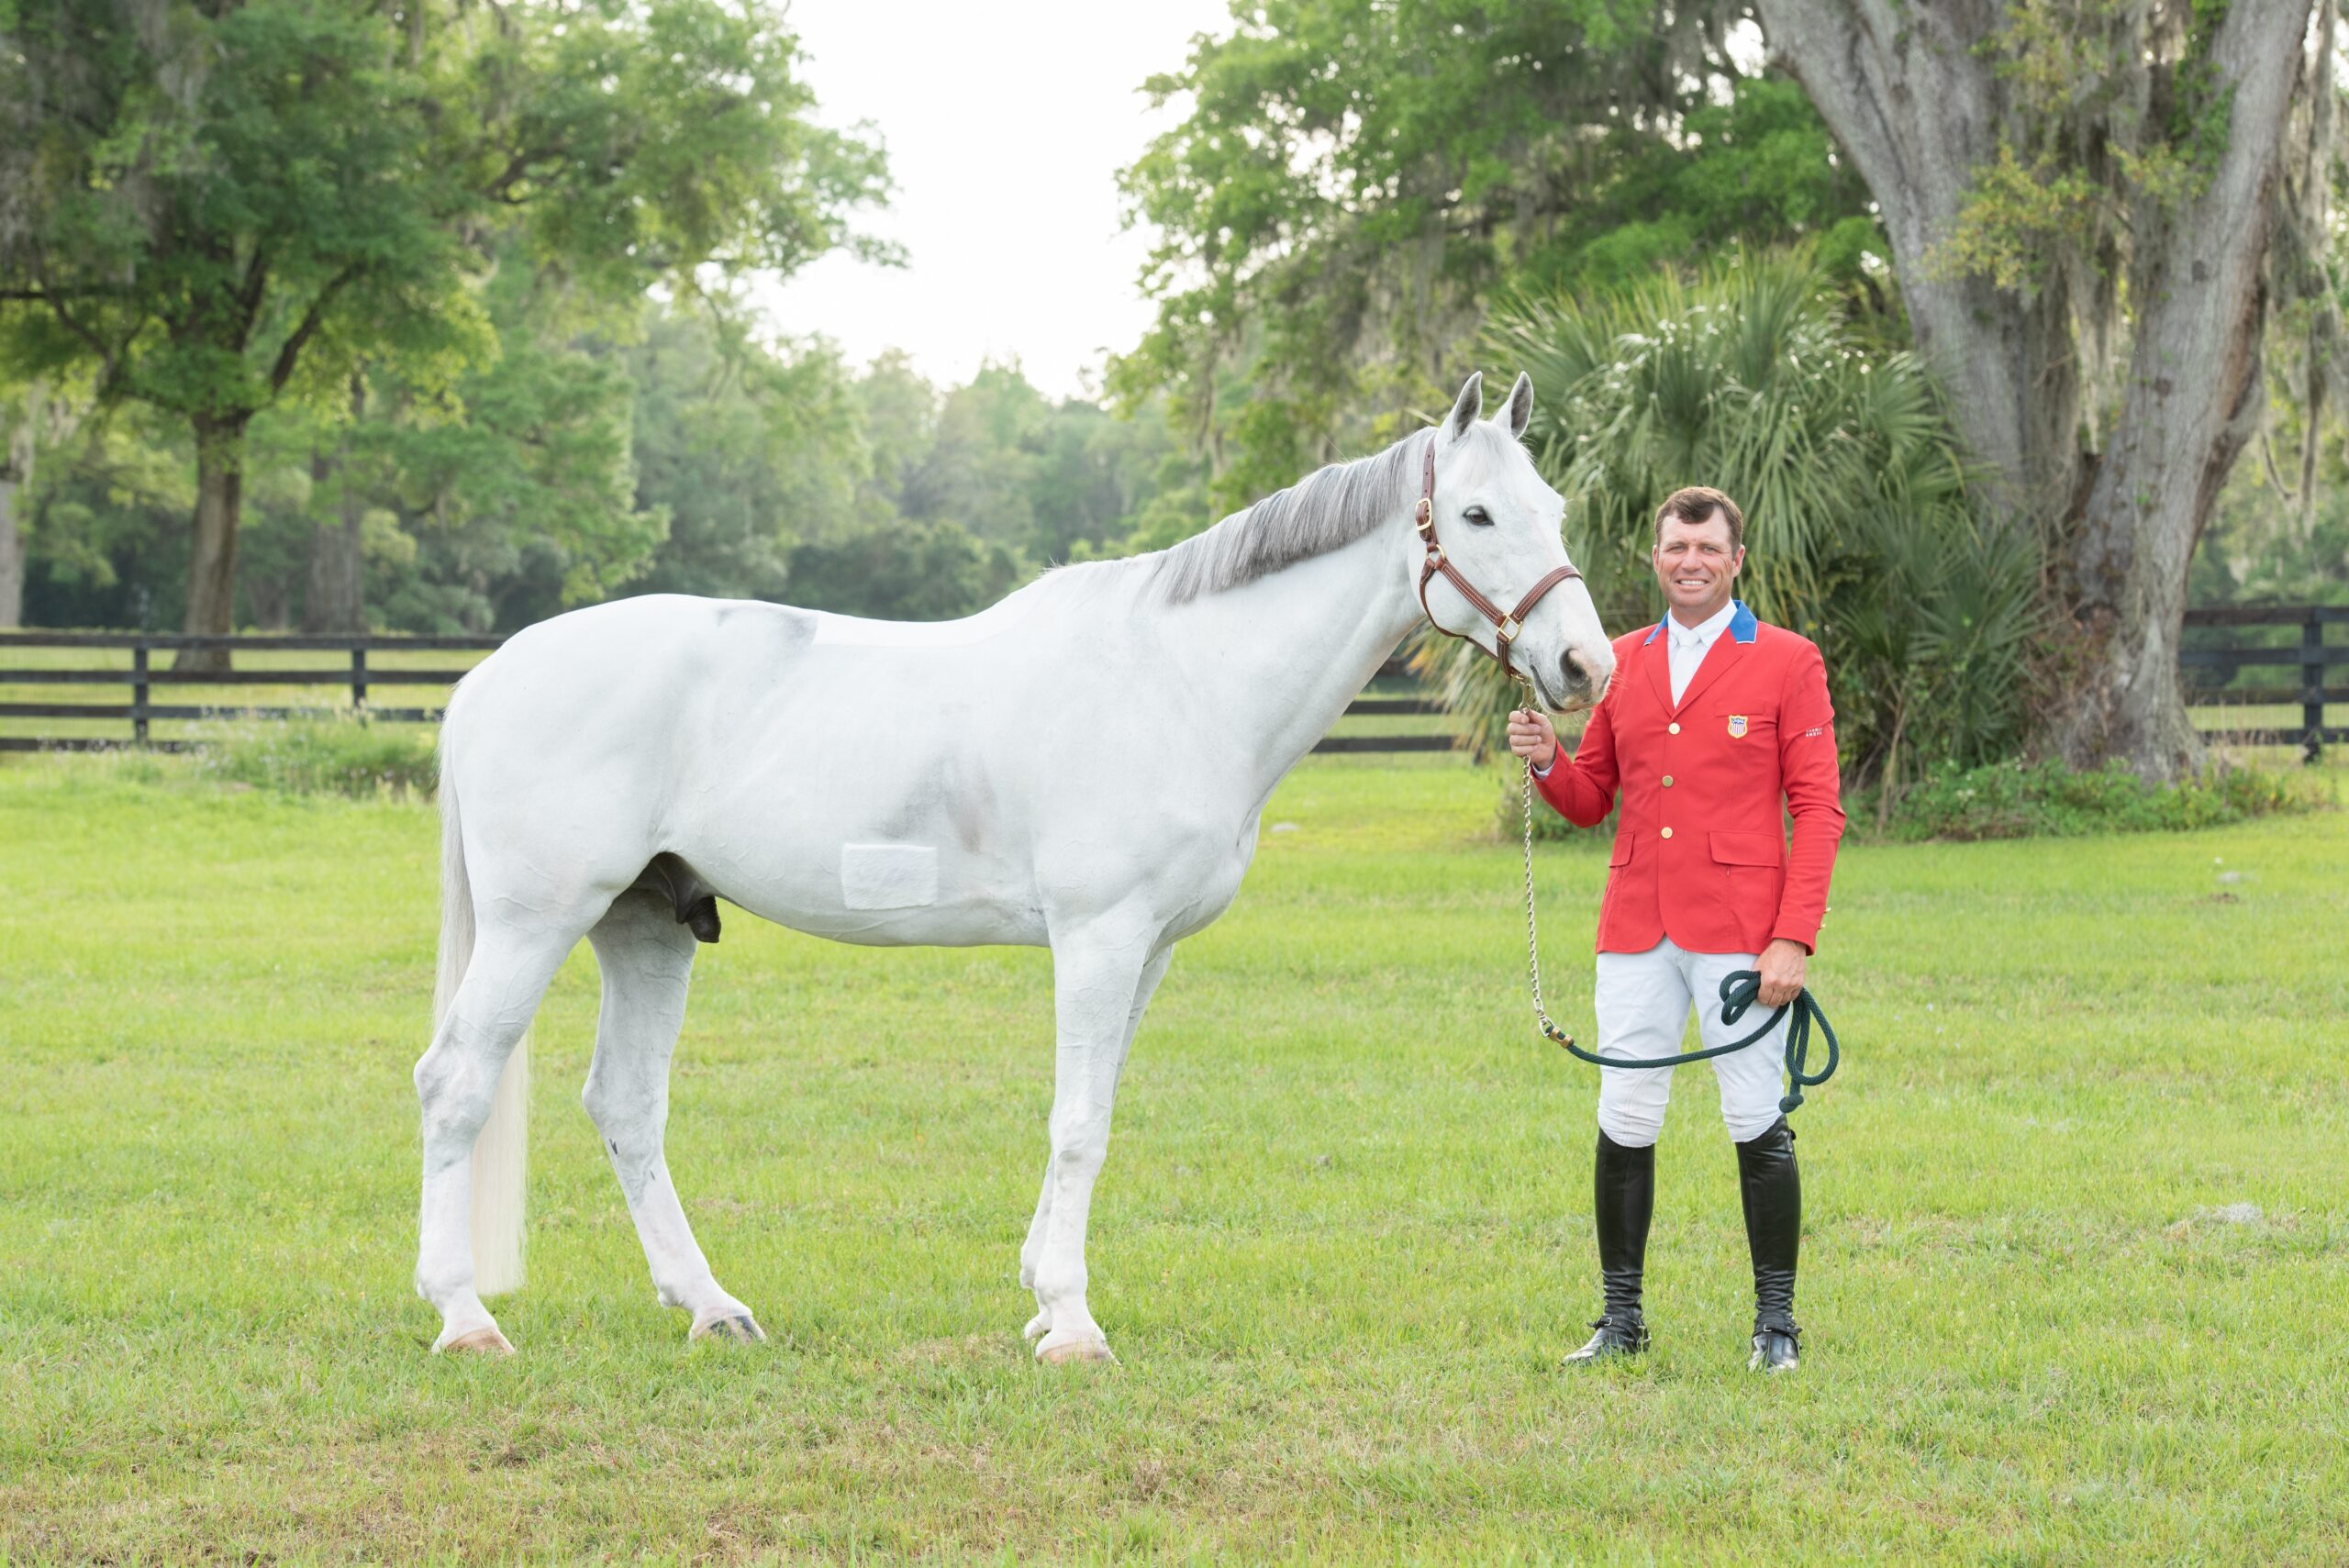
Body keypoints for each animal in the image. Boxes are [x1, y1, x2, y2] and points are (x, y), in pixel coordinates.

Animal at [414, 372, 1617, 1360]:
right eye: (1475, 514)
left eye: (1554, 508)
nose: (1583, 665)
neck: (1177, 678)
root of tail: (490, 675)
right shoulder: (1097, 936)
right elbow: (1077, 1121)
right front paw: (1074, 1325)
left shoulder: (1147, 952)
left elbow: (1097, 1106)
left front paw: (1043, 1295)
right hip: (535, 921)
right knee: (455, 1080)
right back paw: (465, 1316)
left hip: (645, 925)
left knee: (624, 1103)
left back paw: (712, 1307)